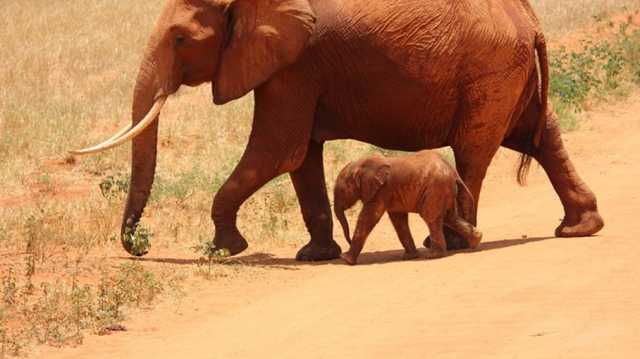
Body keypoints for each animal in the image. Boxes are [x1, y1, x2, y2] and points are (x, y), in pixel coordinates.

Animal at [336, 150, 480, 266]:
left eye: (342, 190)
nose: (348, 241)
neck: (361, 165)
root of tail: (453, 173)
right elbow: (398, 220)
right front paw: (410, 257)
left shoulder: (382, 190)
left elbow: (369, 217)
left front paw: (345, 259)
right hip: (445, 190)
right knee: (449, 217)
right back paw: (476, 241)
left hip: (436, 189)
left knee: (431, 217)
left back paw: (434, 256)